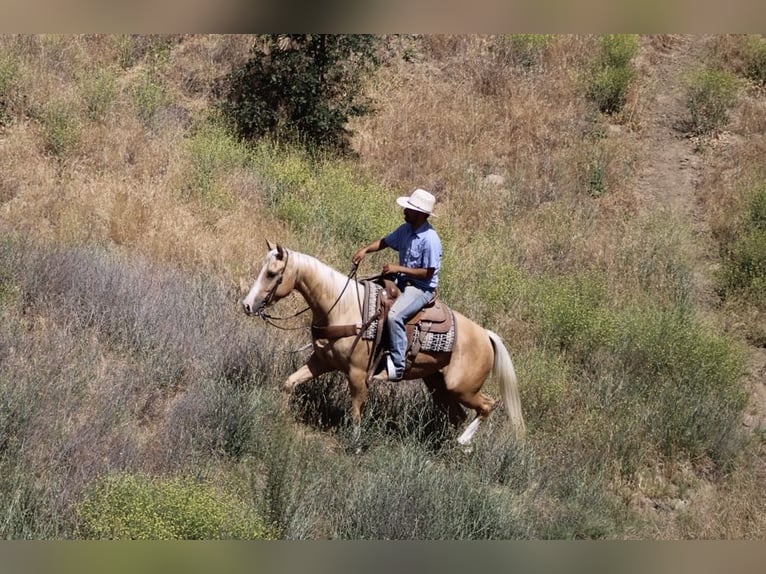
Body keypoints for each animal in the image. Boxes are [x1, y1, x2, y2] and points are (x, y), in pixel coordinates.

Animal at [242, 241, 525, 448]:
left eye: (272, 274)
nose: (247, 305)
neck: (343, 308)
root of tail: (486, 335)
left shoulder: (358, 375)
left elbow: (356, 412)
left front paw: (355, 444)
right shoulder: (321, 361)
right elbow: (290, 383)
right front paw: (280, 414)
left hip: (461, 387)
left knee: (487, 406)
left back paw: (463, 442)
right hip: (438, 385)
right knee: (459, 415)